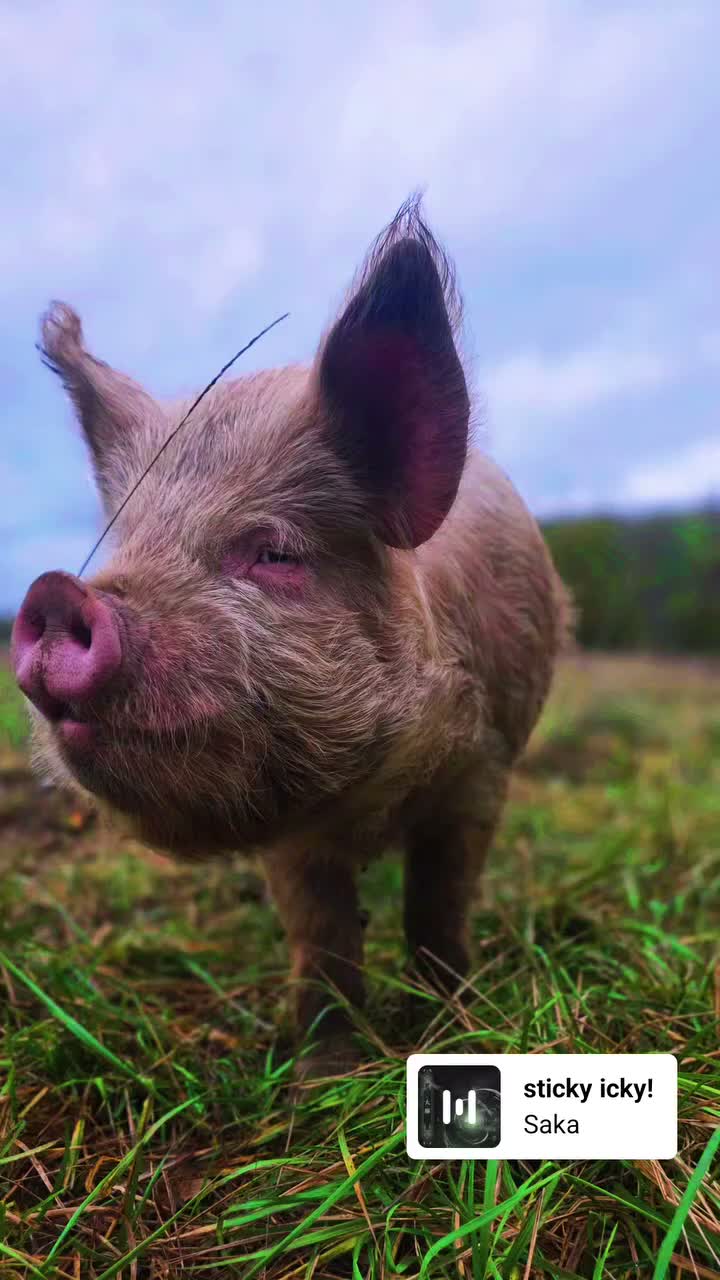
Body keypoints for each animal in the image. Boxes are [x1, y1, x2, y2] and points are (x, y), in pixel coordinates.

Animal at [11, 199, 571, 1078]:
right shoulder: (286, 821)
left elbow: (440, 903)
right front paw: (322, 1072)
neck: (372, 799)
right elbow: (321, 931)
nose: (55, 592)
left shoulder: (482, 767)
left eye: (273, 553)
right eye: (126, 544)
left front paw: (455, 1026)